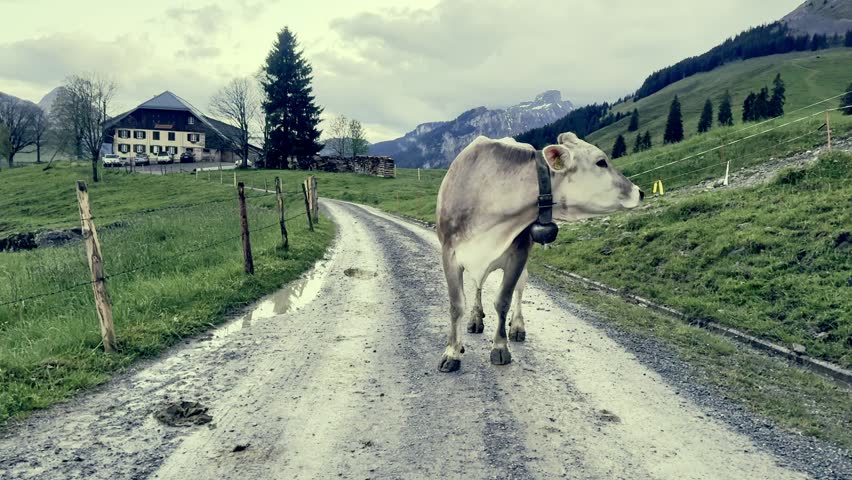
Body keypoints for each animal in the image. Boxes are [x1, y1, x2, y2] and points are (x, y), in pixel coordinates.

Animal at [435, 132, 643, 372]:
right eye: (601, 162)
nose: (640, 192)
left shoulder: (518, 254)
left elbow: (503, 301)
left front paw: (500, 347)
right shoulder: (449, 254)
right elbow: (457, 305)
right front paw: (452, 352)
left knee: (519, 288)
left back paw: (517, 326)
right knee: (478, 285)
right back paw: (476, 319)